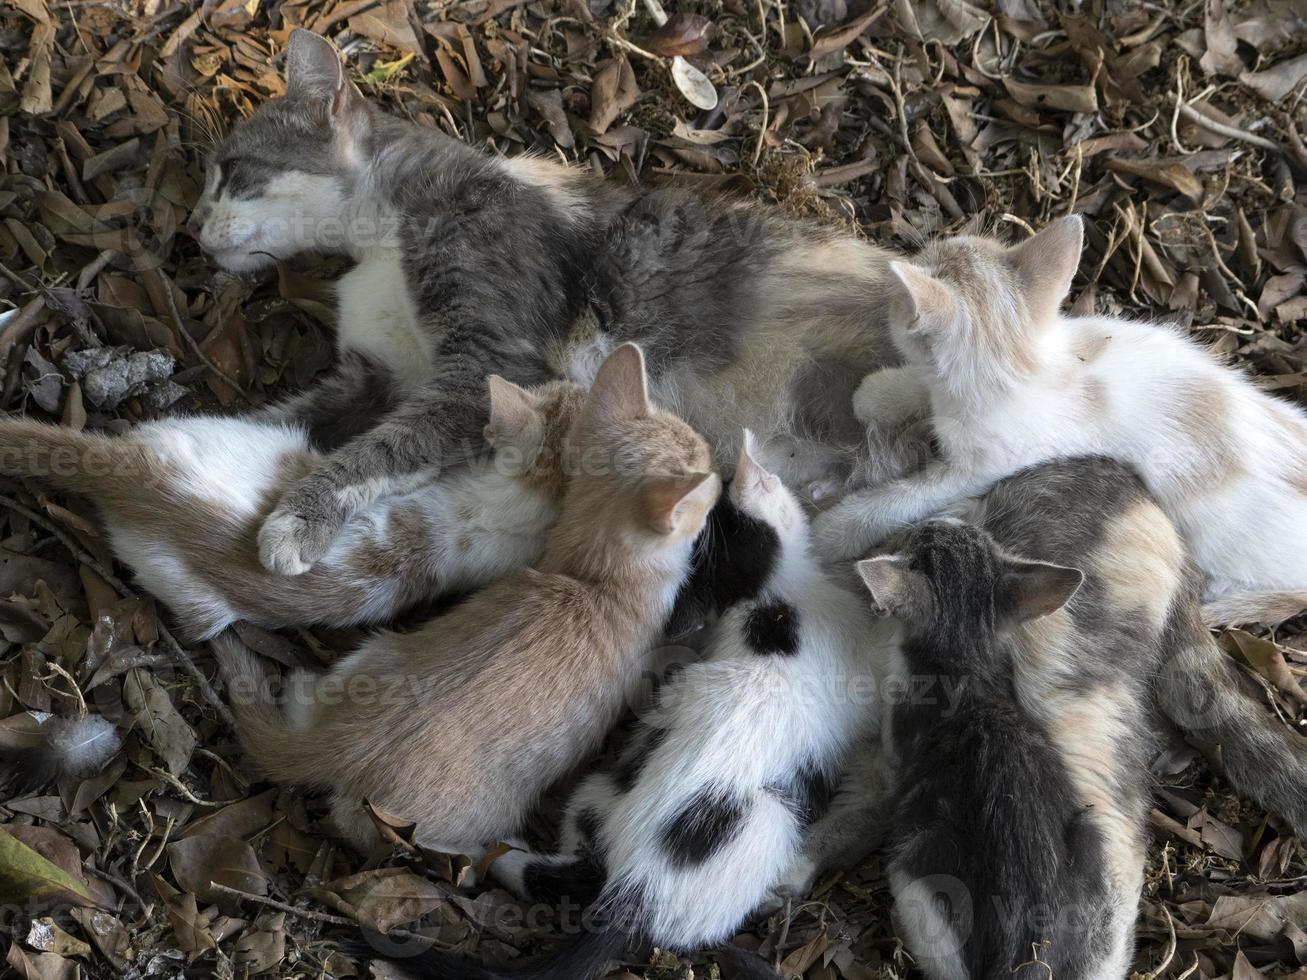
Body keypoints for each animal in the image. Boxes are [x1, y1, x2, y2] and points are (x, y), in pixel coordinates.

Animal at [193, 26, 909, 580]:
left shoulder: (487, 366)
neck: (382, 238)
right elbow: (292, 415)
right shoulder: (380, 374)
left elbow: (387, 449)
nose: (193, 227)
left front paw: (297, 518)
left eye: (232, 170)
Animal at [363, 436, 899, 980]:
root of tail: (634, 884)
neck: (776, 599)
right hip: (765, 822)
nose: (725, 471)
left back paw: (497, 855)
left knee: (571, 874)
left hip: (597, 794)